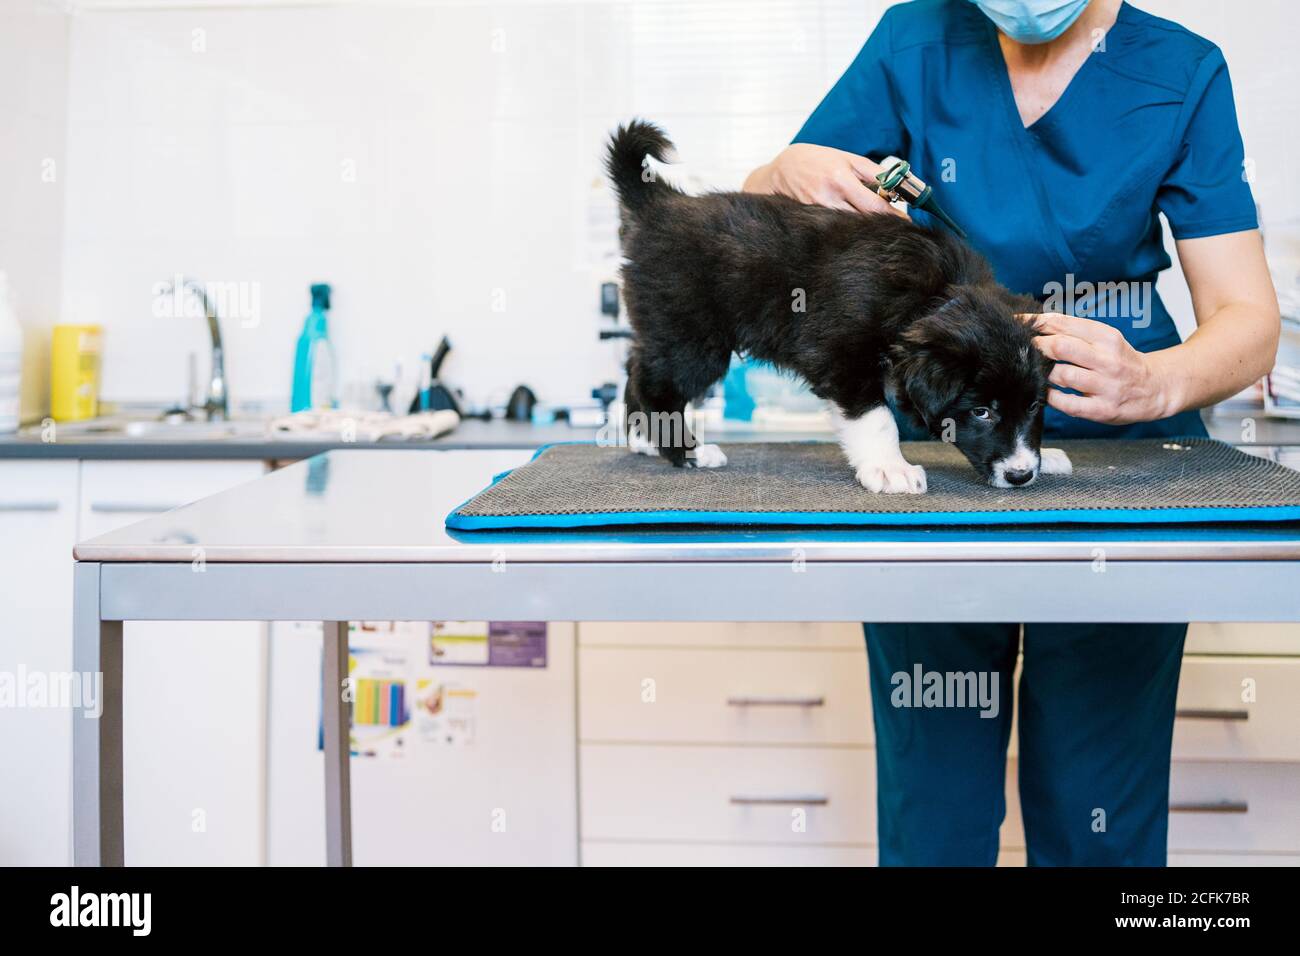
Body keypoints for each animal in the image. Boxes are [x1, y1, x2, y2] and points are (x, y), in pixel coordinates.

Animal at [603, 119, 1071, 489]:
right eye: (981, 411)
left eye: (1034, 406)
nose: (1020, 475)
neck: (934, 293)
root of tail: (660, 202)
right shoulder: (839, 355)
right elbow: (876, 417)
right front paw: (890, 469)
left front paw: (1048, 458)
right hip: (692, 334)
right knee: (655, 383)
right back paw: (688, 452)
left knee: (635, 366)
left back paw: (644, 441)